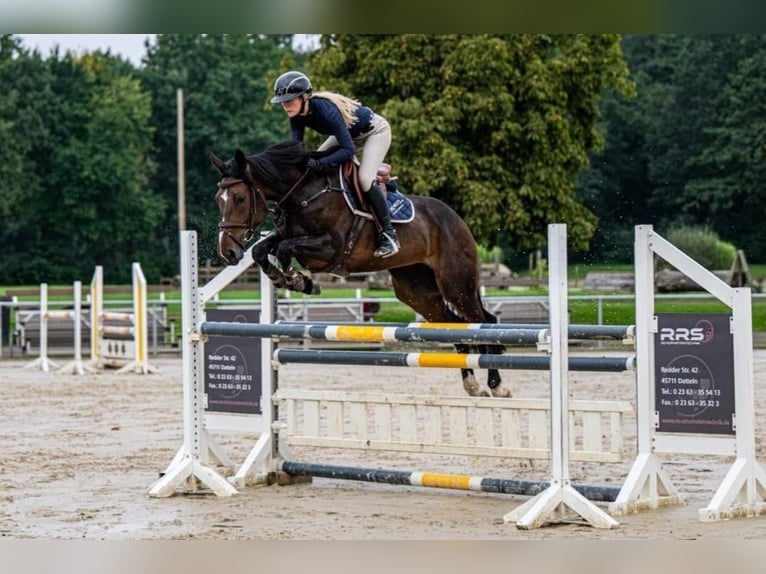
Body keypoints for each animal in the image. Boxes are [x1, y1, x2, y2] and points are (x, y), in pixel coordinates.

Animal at [210, 140, 512, 400]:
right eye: (218, 199)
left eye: (239, 198)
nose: (228, 252)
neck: (303, 192)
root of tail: (456, 219)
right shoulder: (286, 236)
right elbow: (262, 250)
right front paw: (288, 279)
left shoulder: (329, 248)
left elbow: (285, 249)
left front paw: (297, 279)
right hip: (417, 291)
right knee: (453, 324)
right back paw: (472, 385)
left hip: (455, 284)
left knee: (481, 322)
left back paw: (497, 386)